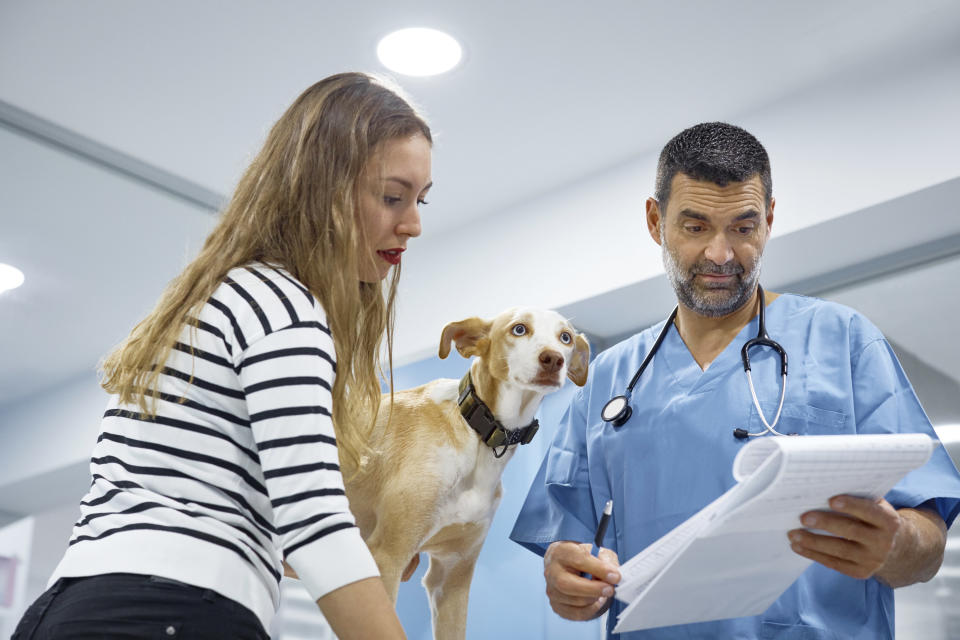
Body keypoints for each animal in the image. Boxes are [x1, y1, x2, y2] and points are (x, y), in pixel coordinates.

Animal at [342, 308, 588, 636]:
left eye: (566, 337)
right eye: (519, 329)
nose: (553, 359)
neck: (479, 434)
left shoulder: (452, 577)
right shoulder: (386, 559)